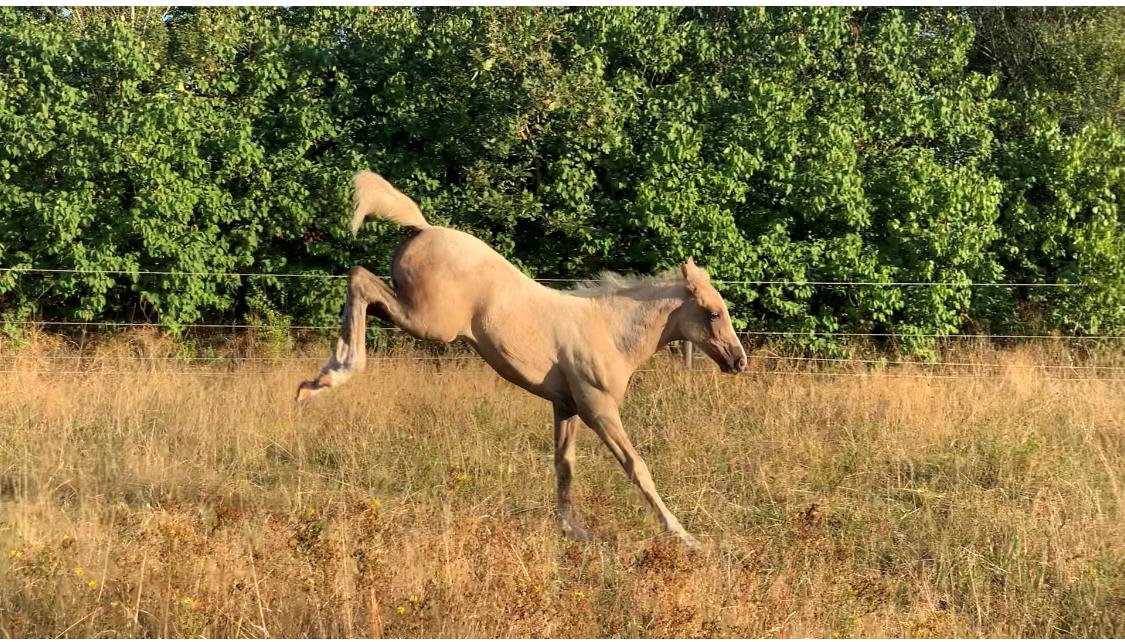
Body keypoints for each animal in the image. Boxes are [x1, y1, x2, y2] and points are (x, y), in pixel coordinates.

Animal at [299, 170, 747, 548]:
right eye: (713, 313)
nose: (738, 361)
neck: (609, 331)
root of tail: (423, 227)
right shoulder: (598, 407)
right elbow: (637, 467)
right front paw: (685, 536)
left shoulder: (566, 406)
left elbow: (564, 465)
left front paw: (572, 531)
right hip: (430, 321)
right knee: (359, 278)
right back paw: (324, 379)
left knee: (362, 287)